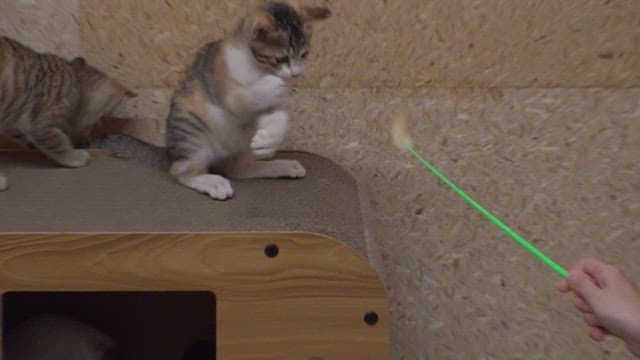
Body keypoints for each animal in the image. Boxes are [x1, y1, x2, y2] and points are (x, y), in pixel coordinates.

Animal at [0, 36, 135, 191]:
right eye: (97, 123)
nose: (88, 141)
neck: (76, 78)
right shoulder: (40, 125)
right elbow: (58, 144)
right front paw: (75, 157)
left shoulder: (14, 122)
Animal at [165, 1, 330, 200]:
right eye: (281, 58)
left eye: (304, 55)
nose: (297, 73)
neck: (259, 69)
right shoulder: (226, 89)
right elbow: (241, 97)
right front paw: (272, 84)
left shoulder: (270, 106)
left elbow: (280, 117)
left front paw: (269, 139)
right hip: (191, 125)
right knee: (180, 171)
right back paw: (212, 181)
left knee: (240, 170)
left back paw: (282, 165)